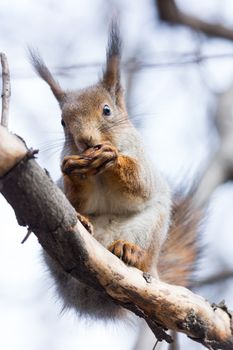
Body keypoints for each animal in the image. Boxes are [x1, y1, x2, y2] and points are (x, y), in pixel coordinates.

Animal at [29, 21, 200, 320]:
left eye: (107, 110)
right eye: (63, 122)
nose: (85, 141)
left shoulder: (142, 162)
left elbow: (139, 185)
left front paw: (113, 158)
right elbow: (74, 197)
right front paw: (73, 170)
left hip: (151, 228)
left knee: (140, 256)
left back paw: (129, 251)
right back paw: (83, 224)